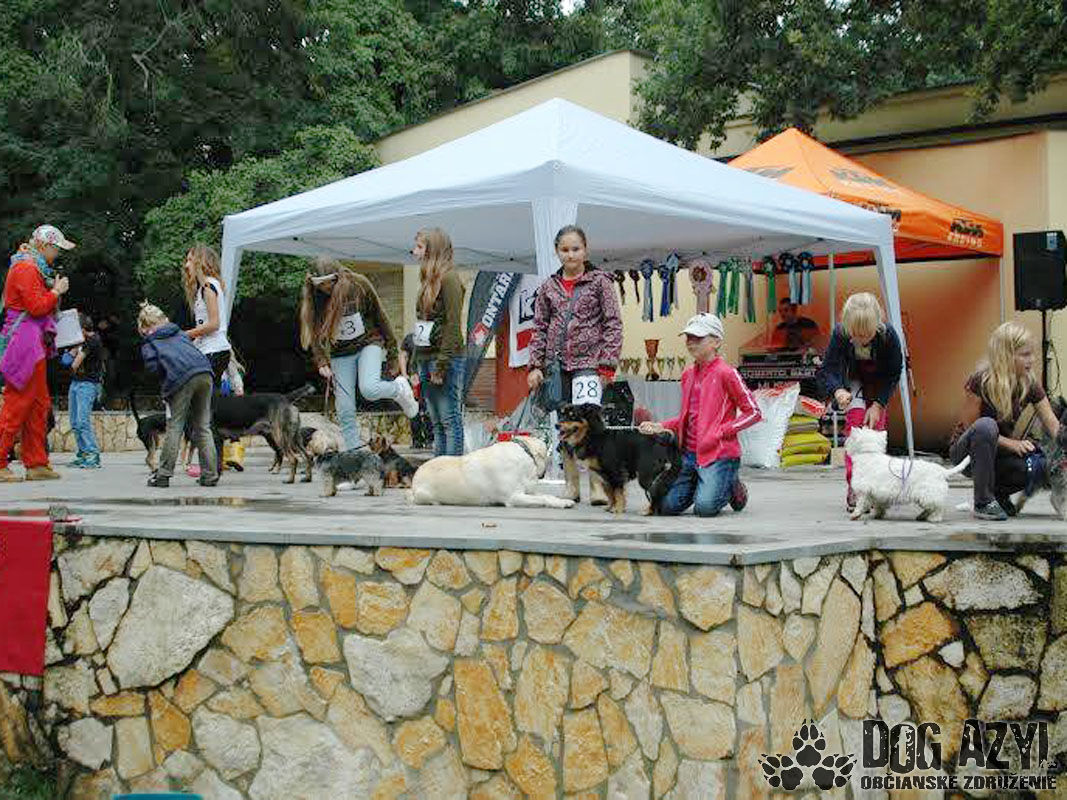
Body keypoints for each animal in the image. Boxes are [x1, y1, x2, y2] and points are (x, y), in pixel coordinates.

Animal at [410, 436, 574, 508]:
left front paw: (563, 501)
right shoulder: (513, 497)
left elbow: (546, 495)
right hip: (424, 494)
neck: (525, 454)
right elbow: (543, 499)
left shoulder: (529, 492)